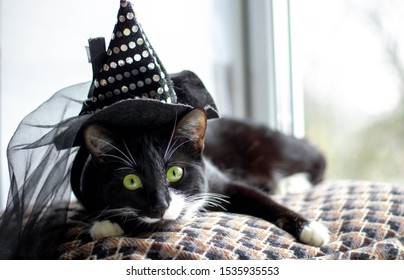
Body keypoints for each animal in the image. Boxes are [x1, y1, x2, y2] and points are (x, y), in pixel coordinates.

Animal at [71, 108, 330, 246]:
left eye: (175, 172)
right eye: (131, 181)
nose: (160, 205)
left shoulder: (220, 181)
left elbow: (261, 200)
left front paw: (310, 227)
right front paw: (104, 224)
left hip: (273, 146)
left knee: (317, 159)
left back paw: (292, 182)